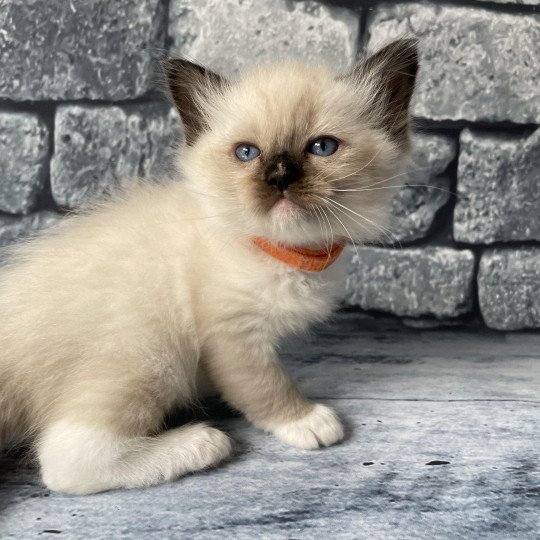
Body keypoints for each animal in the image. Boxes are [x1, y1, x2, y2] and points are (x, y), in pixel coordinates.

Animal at [0, 37, 418, 494]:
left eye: (322, 147)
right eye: (247, 153)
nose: (279, 177)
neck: (279, 251)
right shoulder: (233, 335)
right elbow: (266, 385)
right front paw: (306, 420)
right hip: (152, 351)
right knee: (68, 460)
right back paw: (204, 443)